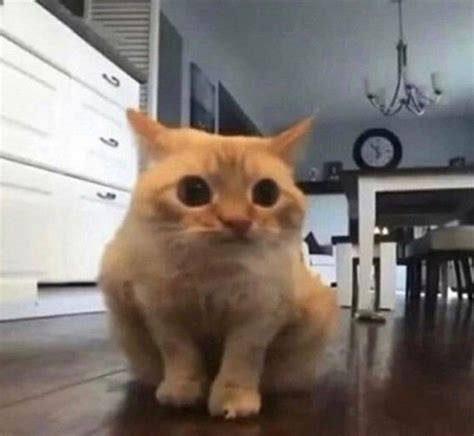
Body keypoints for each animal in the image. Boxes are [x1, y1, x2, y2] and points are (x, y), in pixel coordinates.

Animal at [100, 110, 336, 418]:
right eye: (193, 191)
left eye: (266, 193)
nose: (238, 222)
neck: (214, 274)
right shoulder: (160, 313)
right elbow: (179, 354)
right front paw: (182, 390)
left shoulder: (260, 315)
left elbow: (241, 360)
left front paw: (234, 399)